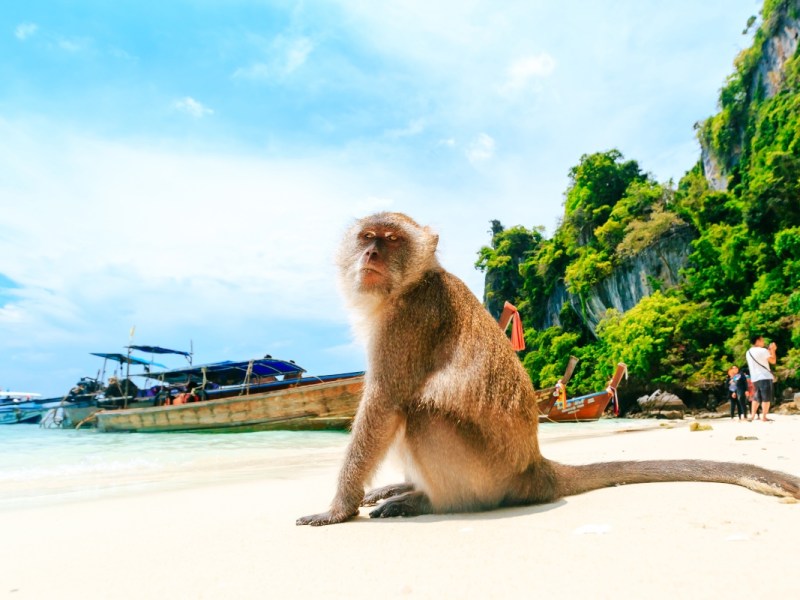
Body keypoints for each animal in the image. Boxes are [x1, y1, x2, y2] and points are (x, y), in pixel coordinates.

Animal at [296, 211, 800, 524]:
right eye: (367, 238)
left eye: (392, 240)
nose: (371, 255)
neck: (408, 285)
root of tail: (535, 468)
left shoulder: (408, 320)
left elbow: (384, 403)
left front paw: (338, 508)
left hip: (486, 474)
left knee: (420, 413)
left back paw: (427, 501)